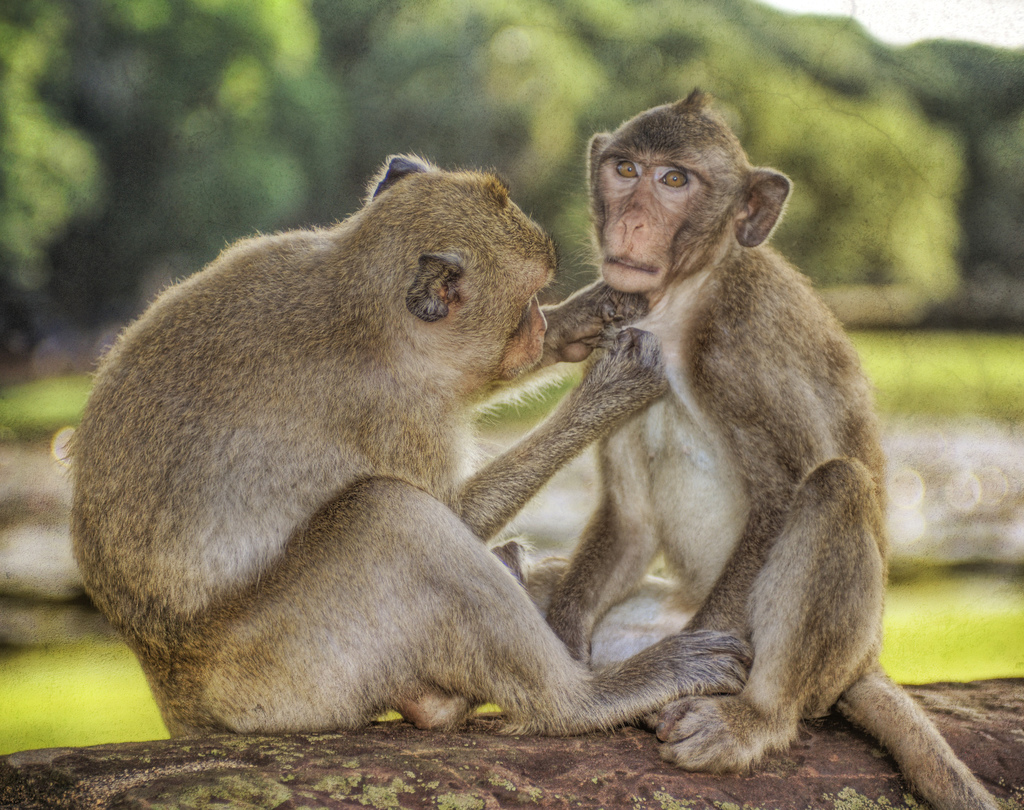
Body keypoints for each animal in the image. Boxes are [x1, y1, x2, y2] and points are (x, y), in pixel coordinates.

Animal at [68, 153, 749, 741]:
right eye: (524, 301)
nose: (535, 326)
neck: (359, 306)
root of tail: (173, 695)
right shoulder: (395, 411)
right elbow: (451, 511)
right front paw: (606, 391)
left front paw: (585, 316)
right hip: (283, 677)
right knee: (391, 516)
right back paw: (586, 699)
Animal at [544, 96, 999, 810]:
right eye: (625, 169)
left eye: (675, 180)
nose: (633, 220)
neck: (682, 302)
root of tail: (866, 660)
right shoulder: (620, 344)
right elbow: (631, 519)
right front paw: (564, 641)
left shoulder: (742, 348)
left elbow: (784, 495)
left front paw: (690, 671)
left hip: (830, 658)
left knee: (834, 485)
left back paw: (755, 716)